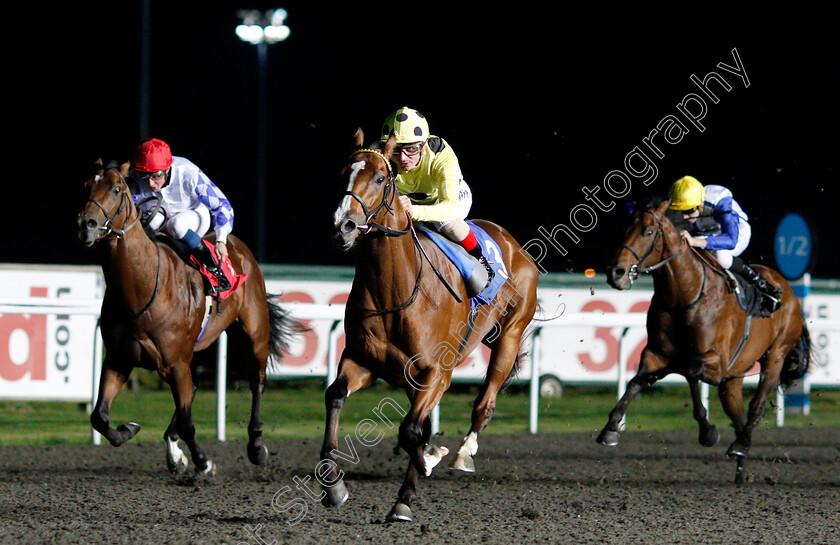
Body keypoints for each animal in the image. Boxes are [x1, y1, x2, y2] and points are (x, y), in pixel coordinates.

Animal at [74, 159, 298, 474]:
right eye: (86, 185)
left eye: (117, 189)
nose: (87, 225)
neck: (142, 288)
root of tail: (237, 246)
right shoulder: (120, 358)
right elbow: (100, 417)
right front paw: (129, 429)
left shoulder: (175, 361)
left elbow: (188, 423)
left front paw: (204, 462)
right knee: (191, 391)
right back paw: (174, 450)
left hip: (254, 333)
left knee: (257, 382)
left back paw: (256, 447)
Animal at [322, 130, 540, 520]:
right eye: (343, 173)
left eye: (381, 178)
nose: (342, 227)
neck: (395, 291)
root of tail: (514, 245)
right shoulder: (364, 362)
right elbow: (335, 395)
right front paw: (334, 487)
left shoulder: (437, 371)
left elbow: (410, 431)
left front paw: (409, 490)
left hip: (510, 335)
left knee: (484, 403)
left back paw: (463, 452)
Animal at [600, 198, 812, 482]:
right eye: (624, 230)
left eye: (648, 232)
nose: (616, 273)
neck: (684, 295)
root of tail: (788, 291)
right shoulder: (656, 355)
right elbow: (635, 383)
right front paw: (610, 429)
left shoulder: (714, 362)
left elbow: (689, 372)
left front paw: (707, 431)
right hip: (733, 378)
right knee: (739, 417)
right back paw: (741, 467)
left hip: (775, 356)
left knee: (756, 408)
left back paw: (741, 445)